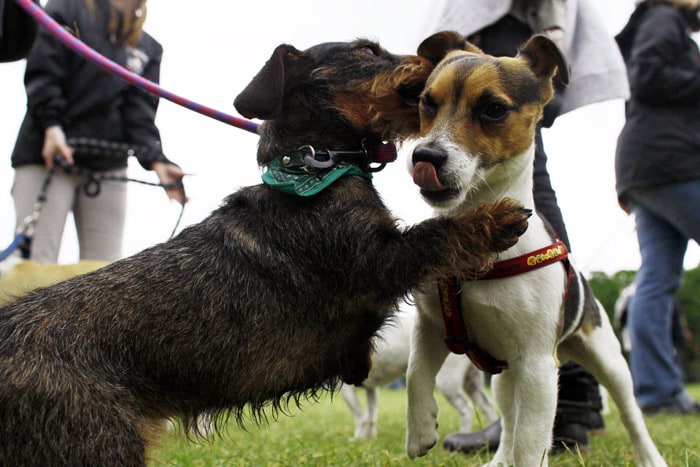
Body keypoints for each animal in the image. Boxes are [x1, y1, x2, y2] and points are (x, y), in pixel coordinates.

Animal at [340, 306, 498, 440]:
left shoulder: (347, 390)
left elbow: (358, 415)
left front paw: (358, 438)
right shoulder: (371, 388)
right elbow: (370, 414)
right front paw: (368, 438)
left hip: (447, 382)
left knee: (466, 408)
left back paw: (462, 434)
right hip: (472, 381)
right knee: (487, 405)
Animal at [402, 31, 664, 466]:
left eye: (492, 109)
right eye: (427, 103)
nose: (425, 156)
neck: (477, 240)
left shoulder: (539, 365)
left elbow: (530, 443)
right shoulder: (431, 329)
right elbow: (415, 376)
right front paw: (421, 429)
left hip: (608, 363)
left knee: (630, 416)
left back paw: (650, 456)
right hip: (504, 377)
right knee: (508, 422)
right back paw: (497, 459)